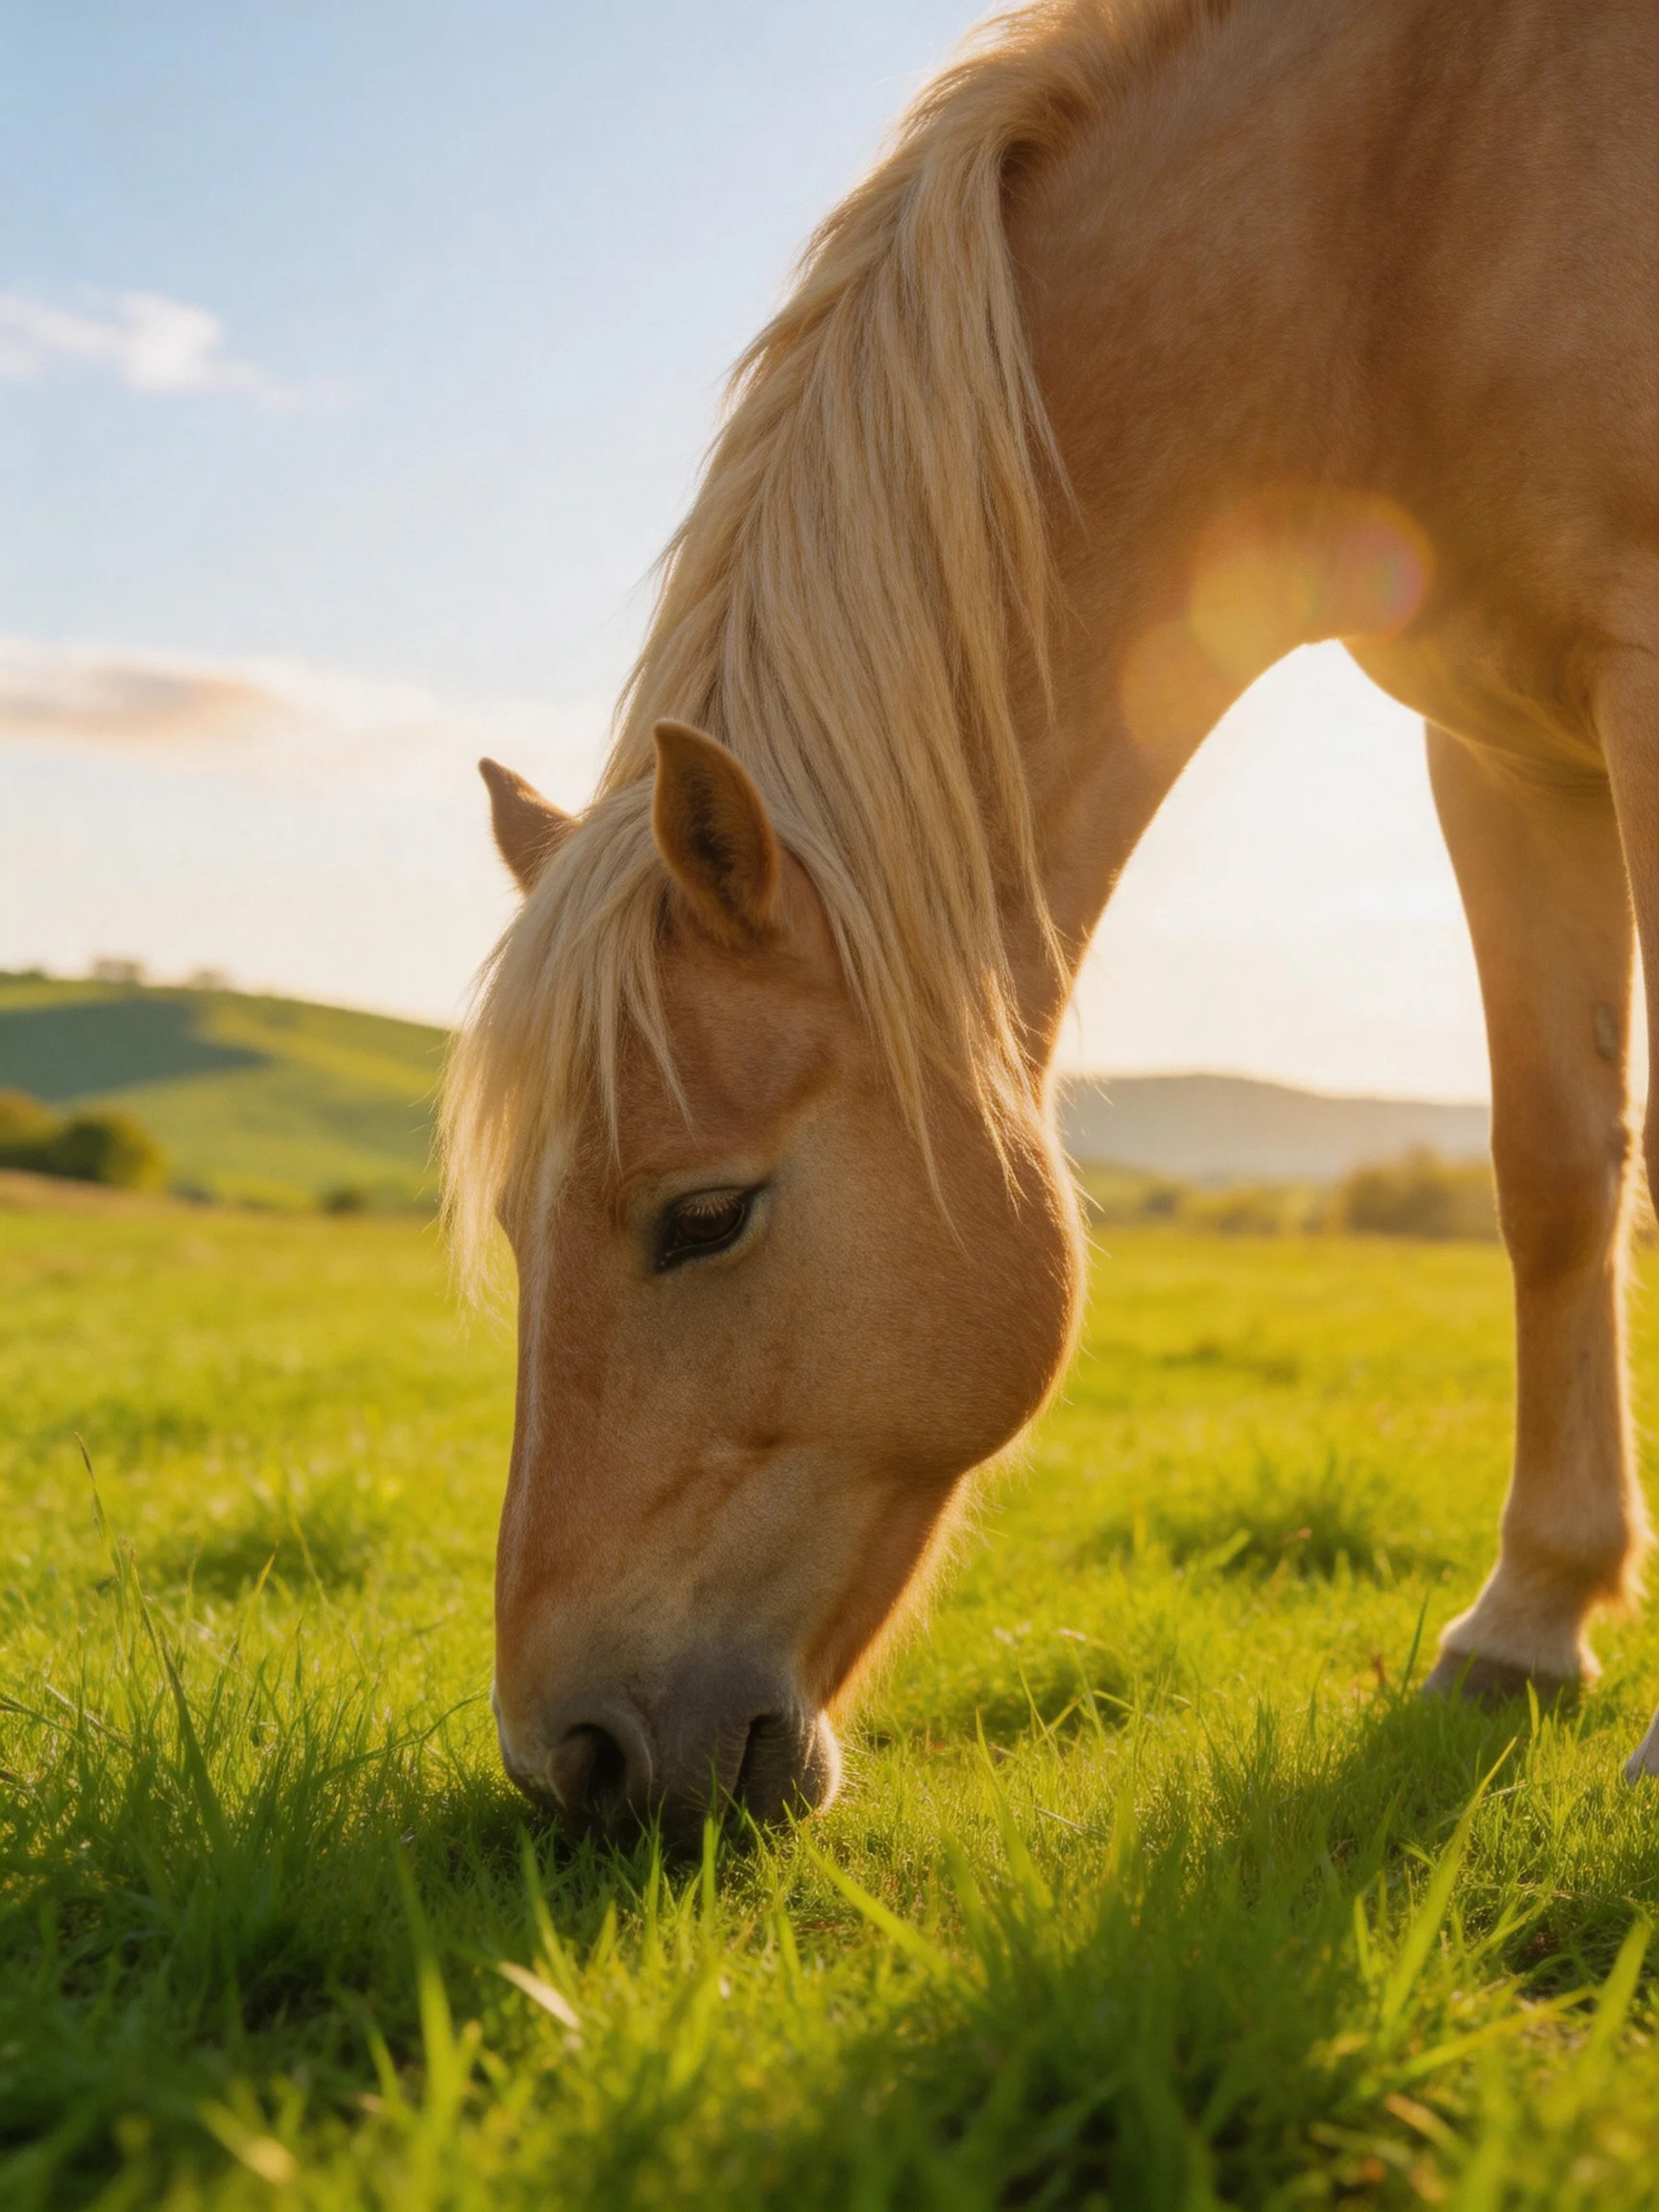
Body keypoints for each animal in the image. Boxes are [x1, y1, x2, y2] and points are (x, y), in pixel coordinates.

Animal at [444, 0, 1659, 1845]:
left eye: (705, 1215)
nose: (563, 1761)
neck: (1407, 205)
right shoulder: (1502, 748)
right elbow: (1551, 1175)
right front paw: (1523, 1624)